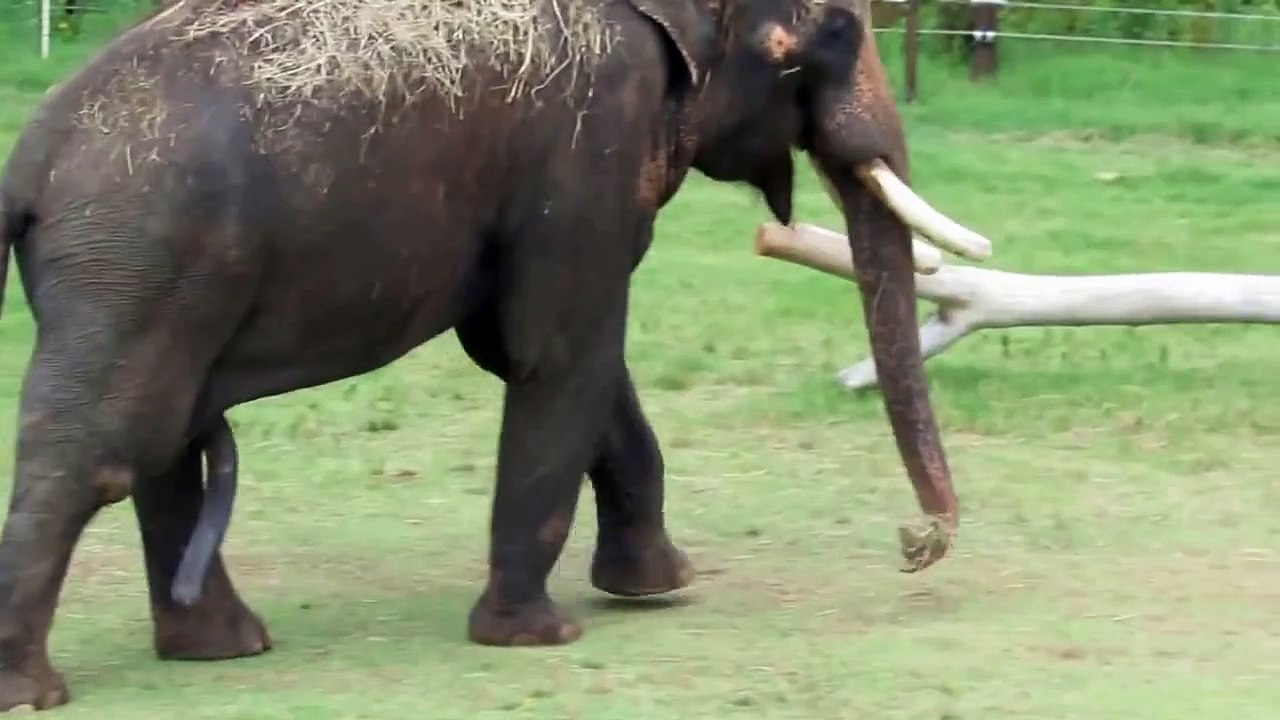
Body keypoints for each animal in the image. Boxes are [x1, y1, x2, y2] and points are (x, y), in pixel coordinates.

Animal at [0, 0, 989, 710]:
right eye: (841, 30)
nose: (917, 544)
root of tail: (30, 161)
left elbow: (557, 356)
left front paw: (657, 586)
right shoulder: (590, 141)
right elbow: (556, 350)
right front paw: (539, 636)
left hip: (150, 279)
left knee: (160, 443)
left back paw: (222, 649)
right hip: (139, 256)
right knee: (104, 451)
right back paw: (36, 691)